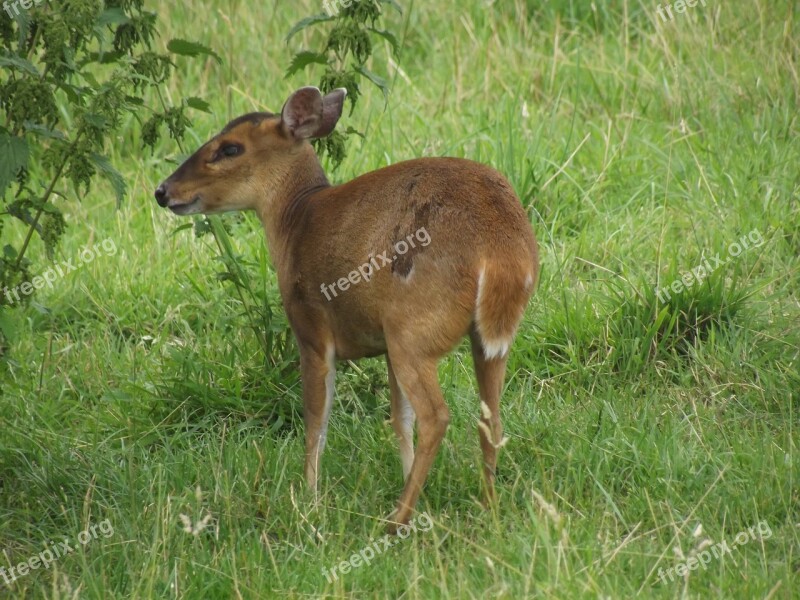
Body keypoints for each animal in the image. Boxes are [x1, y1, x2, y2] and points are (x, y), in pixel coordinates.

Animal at [153, 85, 540, 528]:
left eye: (229, 147)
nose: (162, 191)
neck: (296, 220)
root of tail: (502, 253)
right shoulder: (383, 344)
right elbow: (398, 418)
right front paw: (405, 476)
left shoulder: (312, 331)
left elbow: (315, 421)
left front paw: (308, 497)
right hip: (480, 340)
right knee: (489, 415)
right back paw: (487, 506)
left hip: (414, 330)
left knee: (437, 416)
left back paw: (397, 519)